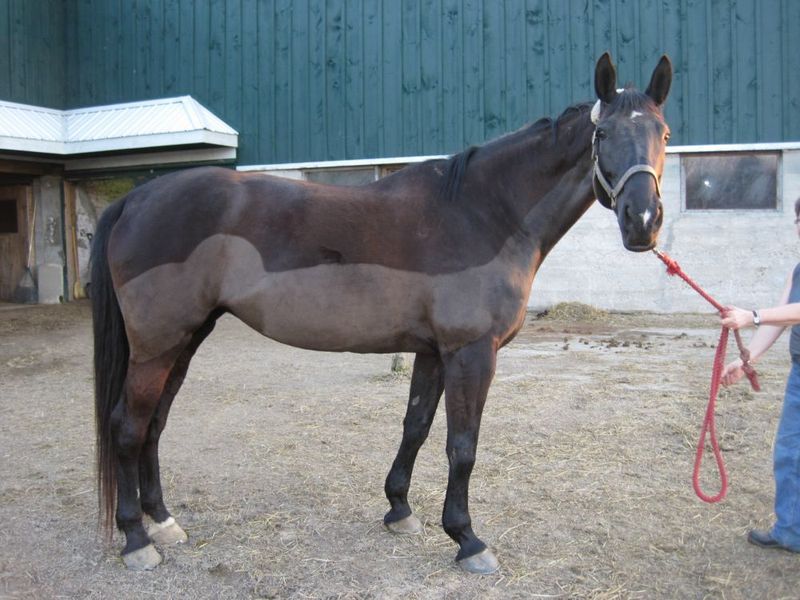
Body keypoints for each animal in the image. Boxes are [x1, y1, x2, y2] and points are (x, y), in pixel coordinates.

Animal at [91, 52, 672, 573]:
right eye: (603, 135)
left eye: (664, 134)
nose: (642, 222)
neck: (483, 213)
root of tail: (136, 199)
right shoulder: (471, 353)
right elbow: (462, 445)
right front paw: (467, 540)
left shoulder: (434, 353)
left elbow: (415, 426)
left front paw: (400, 510)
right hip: (158, 344)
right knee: (128, 426)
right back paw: (137, 540)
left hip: (185, 339)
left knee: (154, 423)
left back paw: (164, 521)